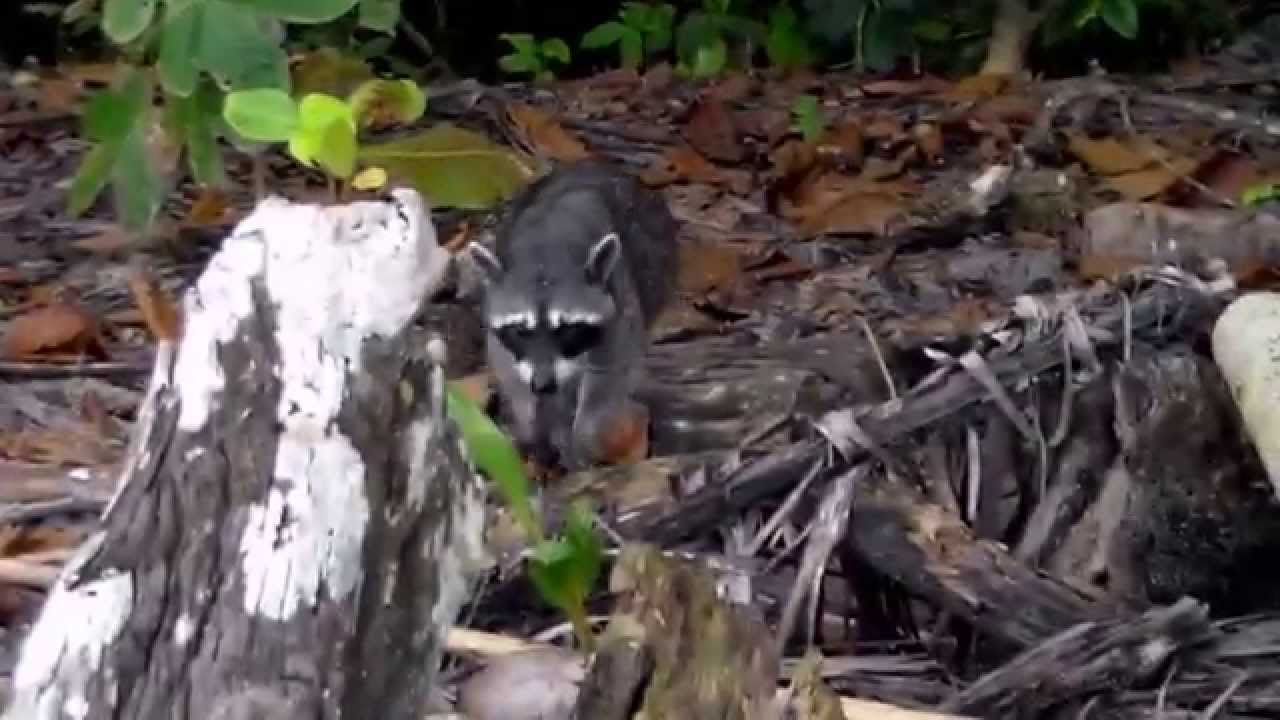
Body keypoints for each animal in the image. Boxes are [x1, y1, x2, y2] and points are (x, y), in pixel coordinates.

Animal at [465, 161, 678, 470]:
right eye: (521, 330)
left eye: (566, 329)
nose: (542, 384)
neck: (544, 251)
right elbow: (505, 362)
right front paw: (530, 420)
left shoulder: (619, 300)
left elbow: (612, 369)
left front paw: (585, 434)